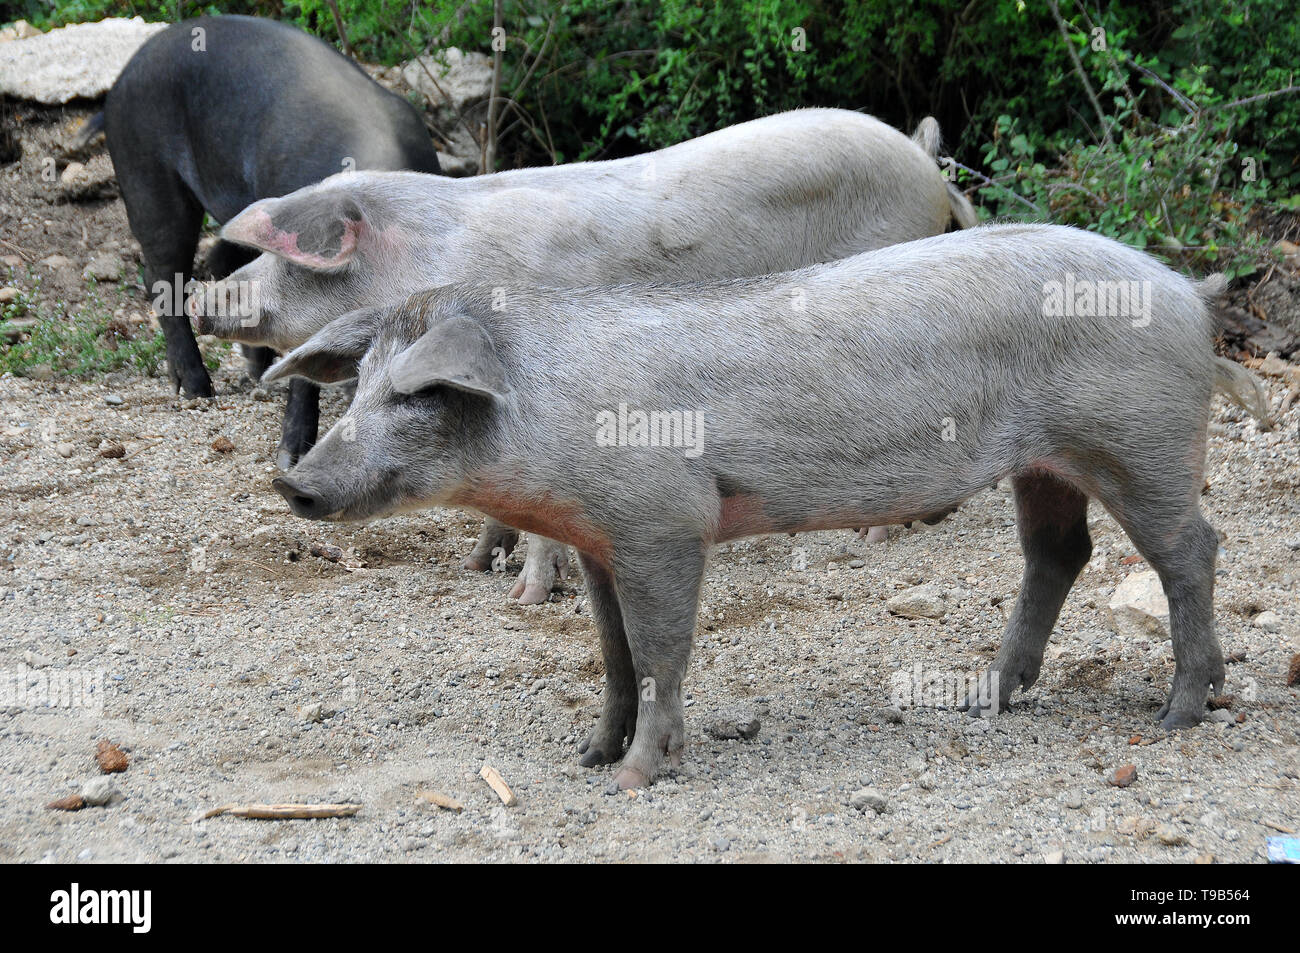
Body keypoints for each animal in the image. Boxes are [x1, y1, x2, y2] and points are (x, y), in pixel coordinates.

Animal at [188, 109, 972, 603]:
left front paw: (523, 598)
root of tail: (923, 163)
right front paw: (478, 563)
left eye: (287, 257)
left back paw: (877, 531)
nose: (199, 295)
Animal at [261, 224, 1248, 790]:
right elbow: (612, 653)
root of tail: (1187, 292)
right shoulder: (598, 538)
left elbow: (662, 650)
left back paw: (1178, 714)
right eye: (358, 384)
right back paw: (982, 700)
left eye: (418, 395)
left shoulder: (665, 520)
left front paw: (635, 781)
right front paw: (587, 756)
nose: (295, 483)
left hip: (1140, 442)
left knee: (1192, 548)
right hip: (1047, 461)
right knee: (1060, 553)